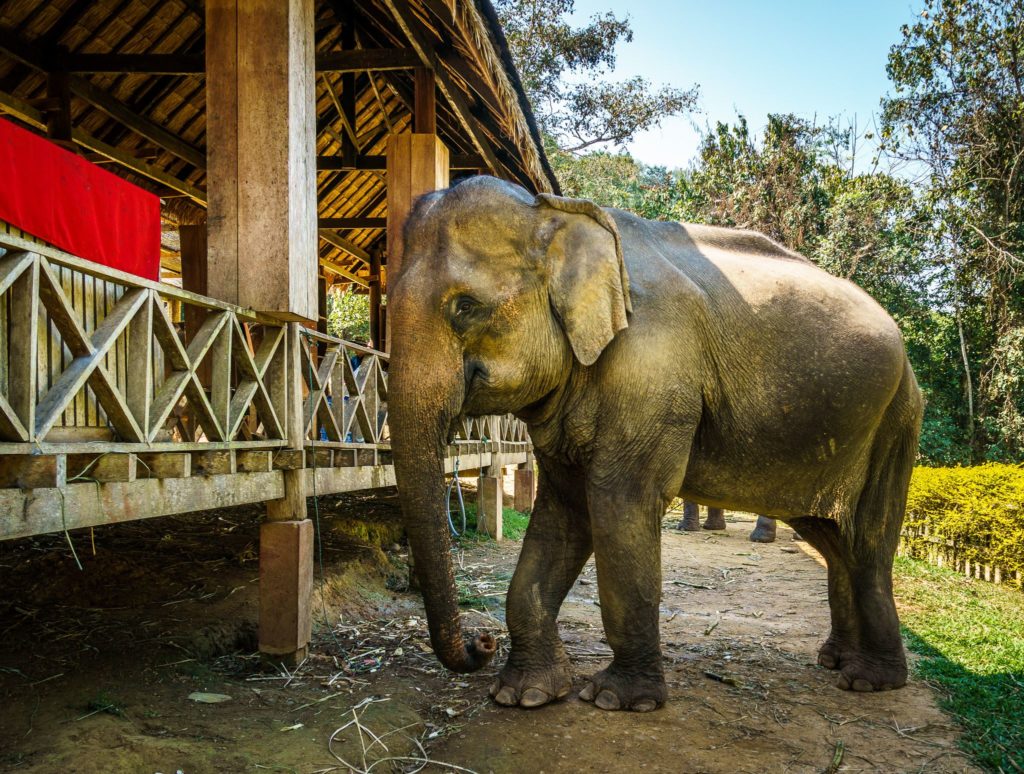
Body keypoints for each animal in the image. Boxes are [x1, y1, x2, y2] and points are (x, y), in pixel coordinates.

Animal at [387, 175, 925, 712]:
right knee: (831, 537)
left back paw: (869, 681)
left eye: (465, 308)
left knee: (867, 541)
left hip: (895, 421)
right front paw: (524, 695)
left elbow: (620, 500)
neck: (556, 212)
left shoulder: (654, 367)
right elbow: (566, 506)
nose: (481, 642)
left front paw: (616, 699)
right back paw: (834, 660)